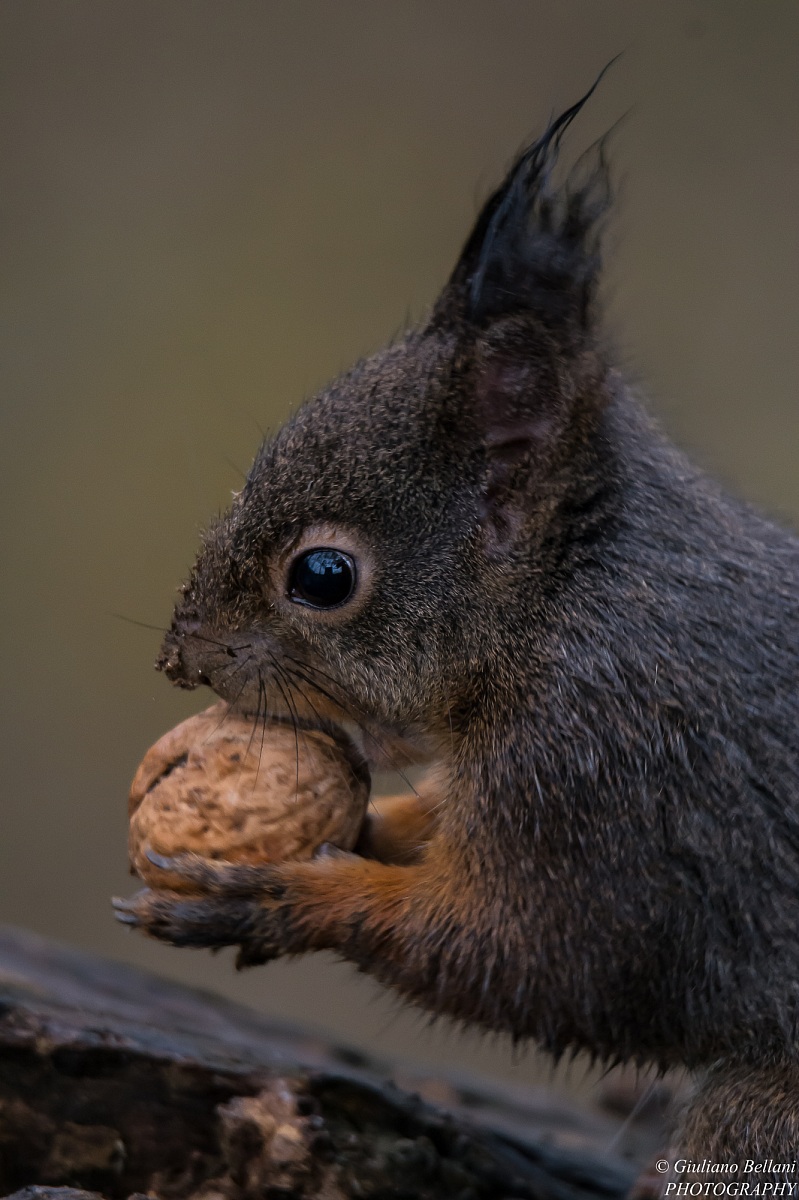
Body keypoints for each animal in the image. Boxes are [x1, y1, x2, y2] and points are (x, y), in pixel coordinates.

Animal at [115, 87, 799, 1164]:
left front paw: (277, 901)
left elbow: (537, 959)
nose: (181, 659)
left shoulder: (613, 783)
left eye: (322, 576)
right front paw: (370, 825)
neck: (563, 603)